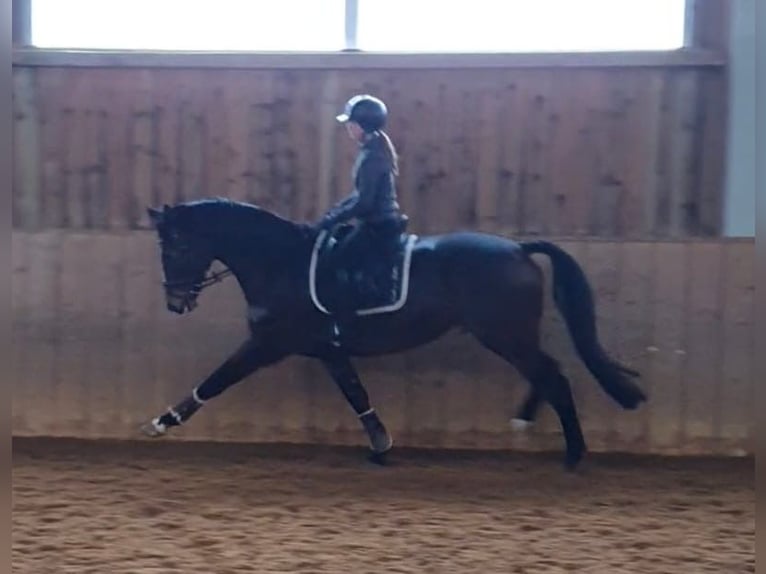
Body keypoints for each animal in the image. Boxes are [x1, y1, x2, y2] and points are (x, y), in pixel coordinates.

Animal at [140, 197, 646, 469]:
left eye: (177, 245)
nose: (175, 303)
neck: (280, 262)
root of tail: (519, 248)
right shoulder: (328, 350)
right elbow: (356, 393)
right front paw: (381, 445)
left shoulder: (268, 344)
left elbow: (216, 380)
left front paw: (162, 421)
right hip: (511, 336)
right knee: (547, 373)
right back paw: (529, 424)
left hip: (505, 335)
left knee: (553, 375)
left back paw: (573, 453)